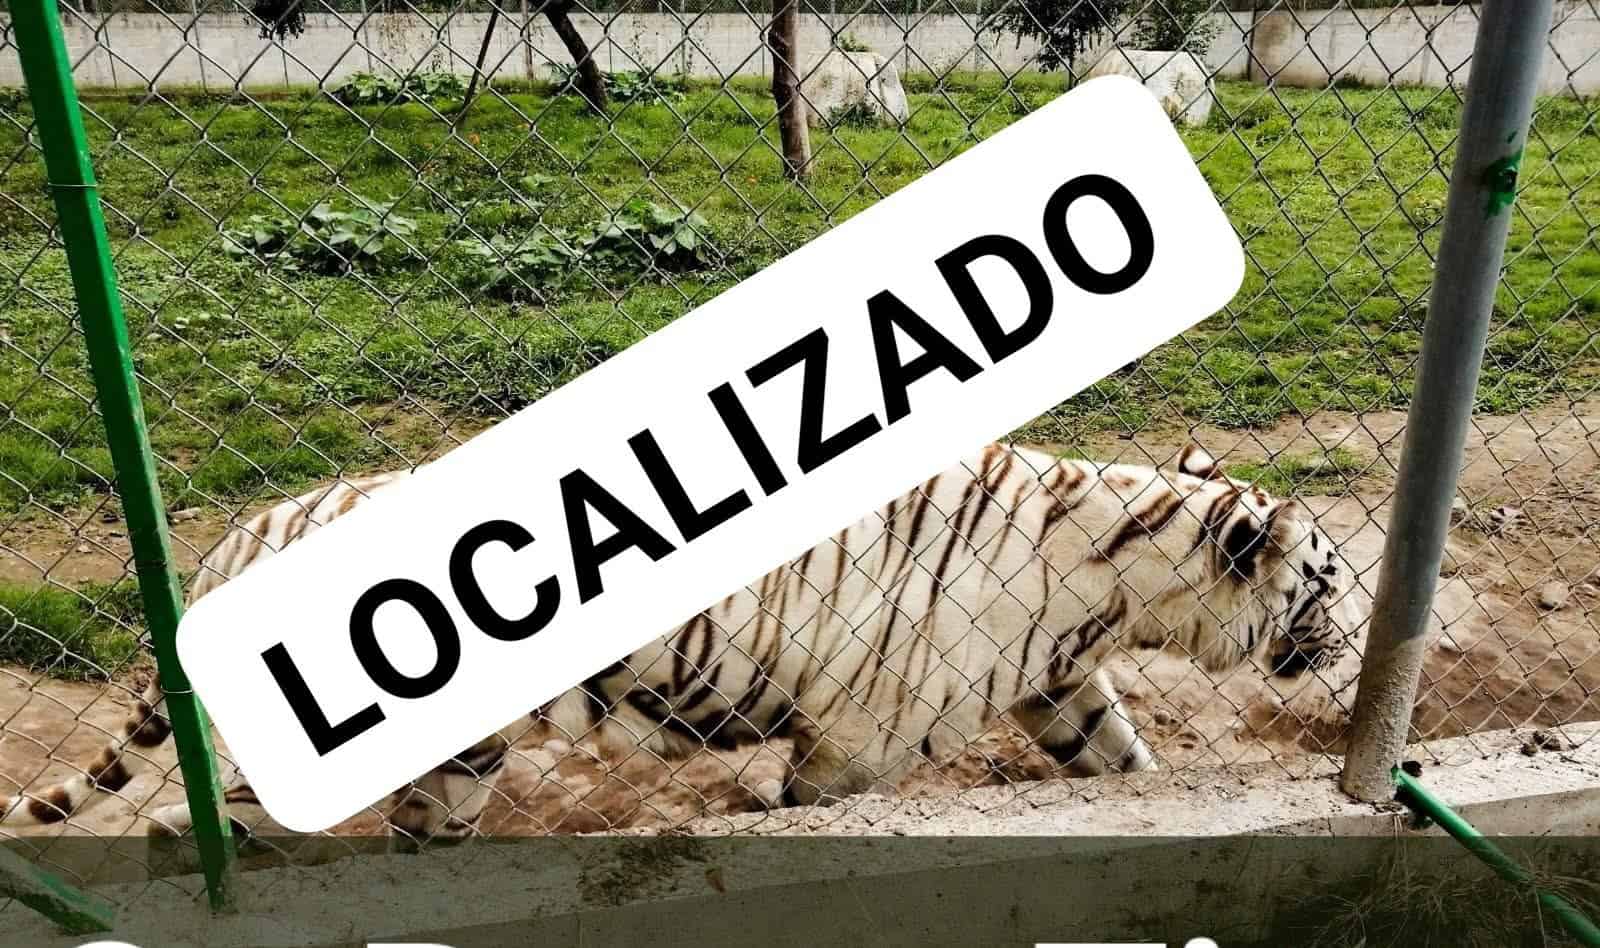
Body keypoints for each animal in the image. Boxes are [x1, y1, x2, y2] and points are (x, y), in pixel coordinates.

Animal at [1, 442, 1357, 848]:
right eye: (1328, 586)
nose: (1348, 651)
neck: (1116, 576)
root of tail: (249, 526)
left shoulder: (1060, 683)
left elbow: (1123, 760)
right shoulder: (865, 734)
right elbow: (817, 804)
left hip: (458, 759)